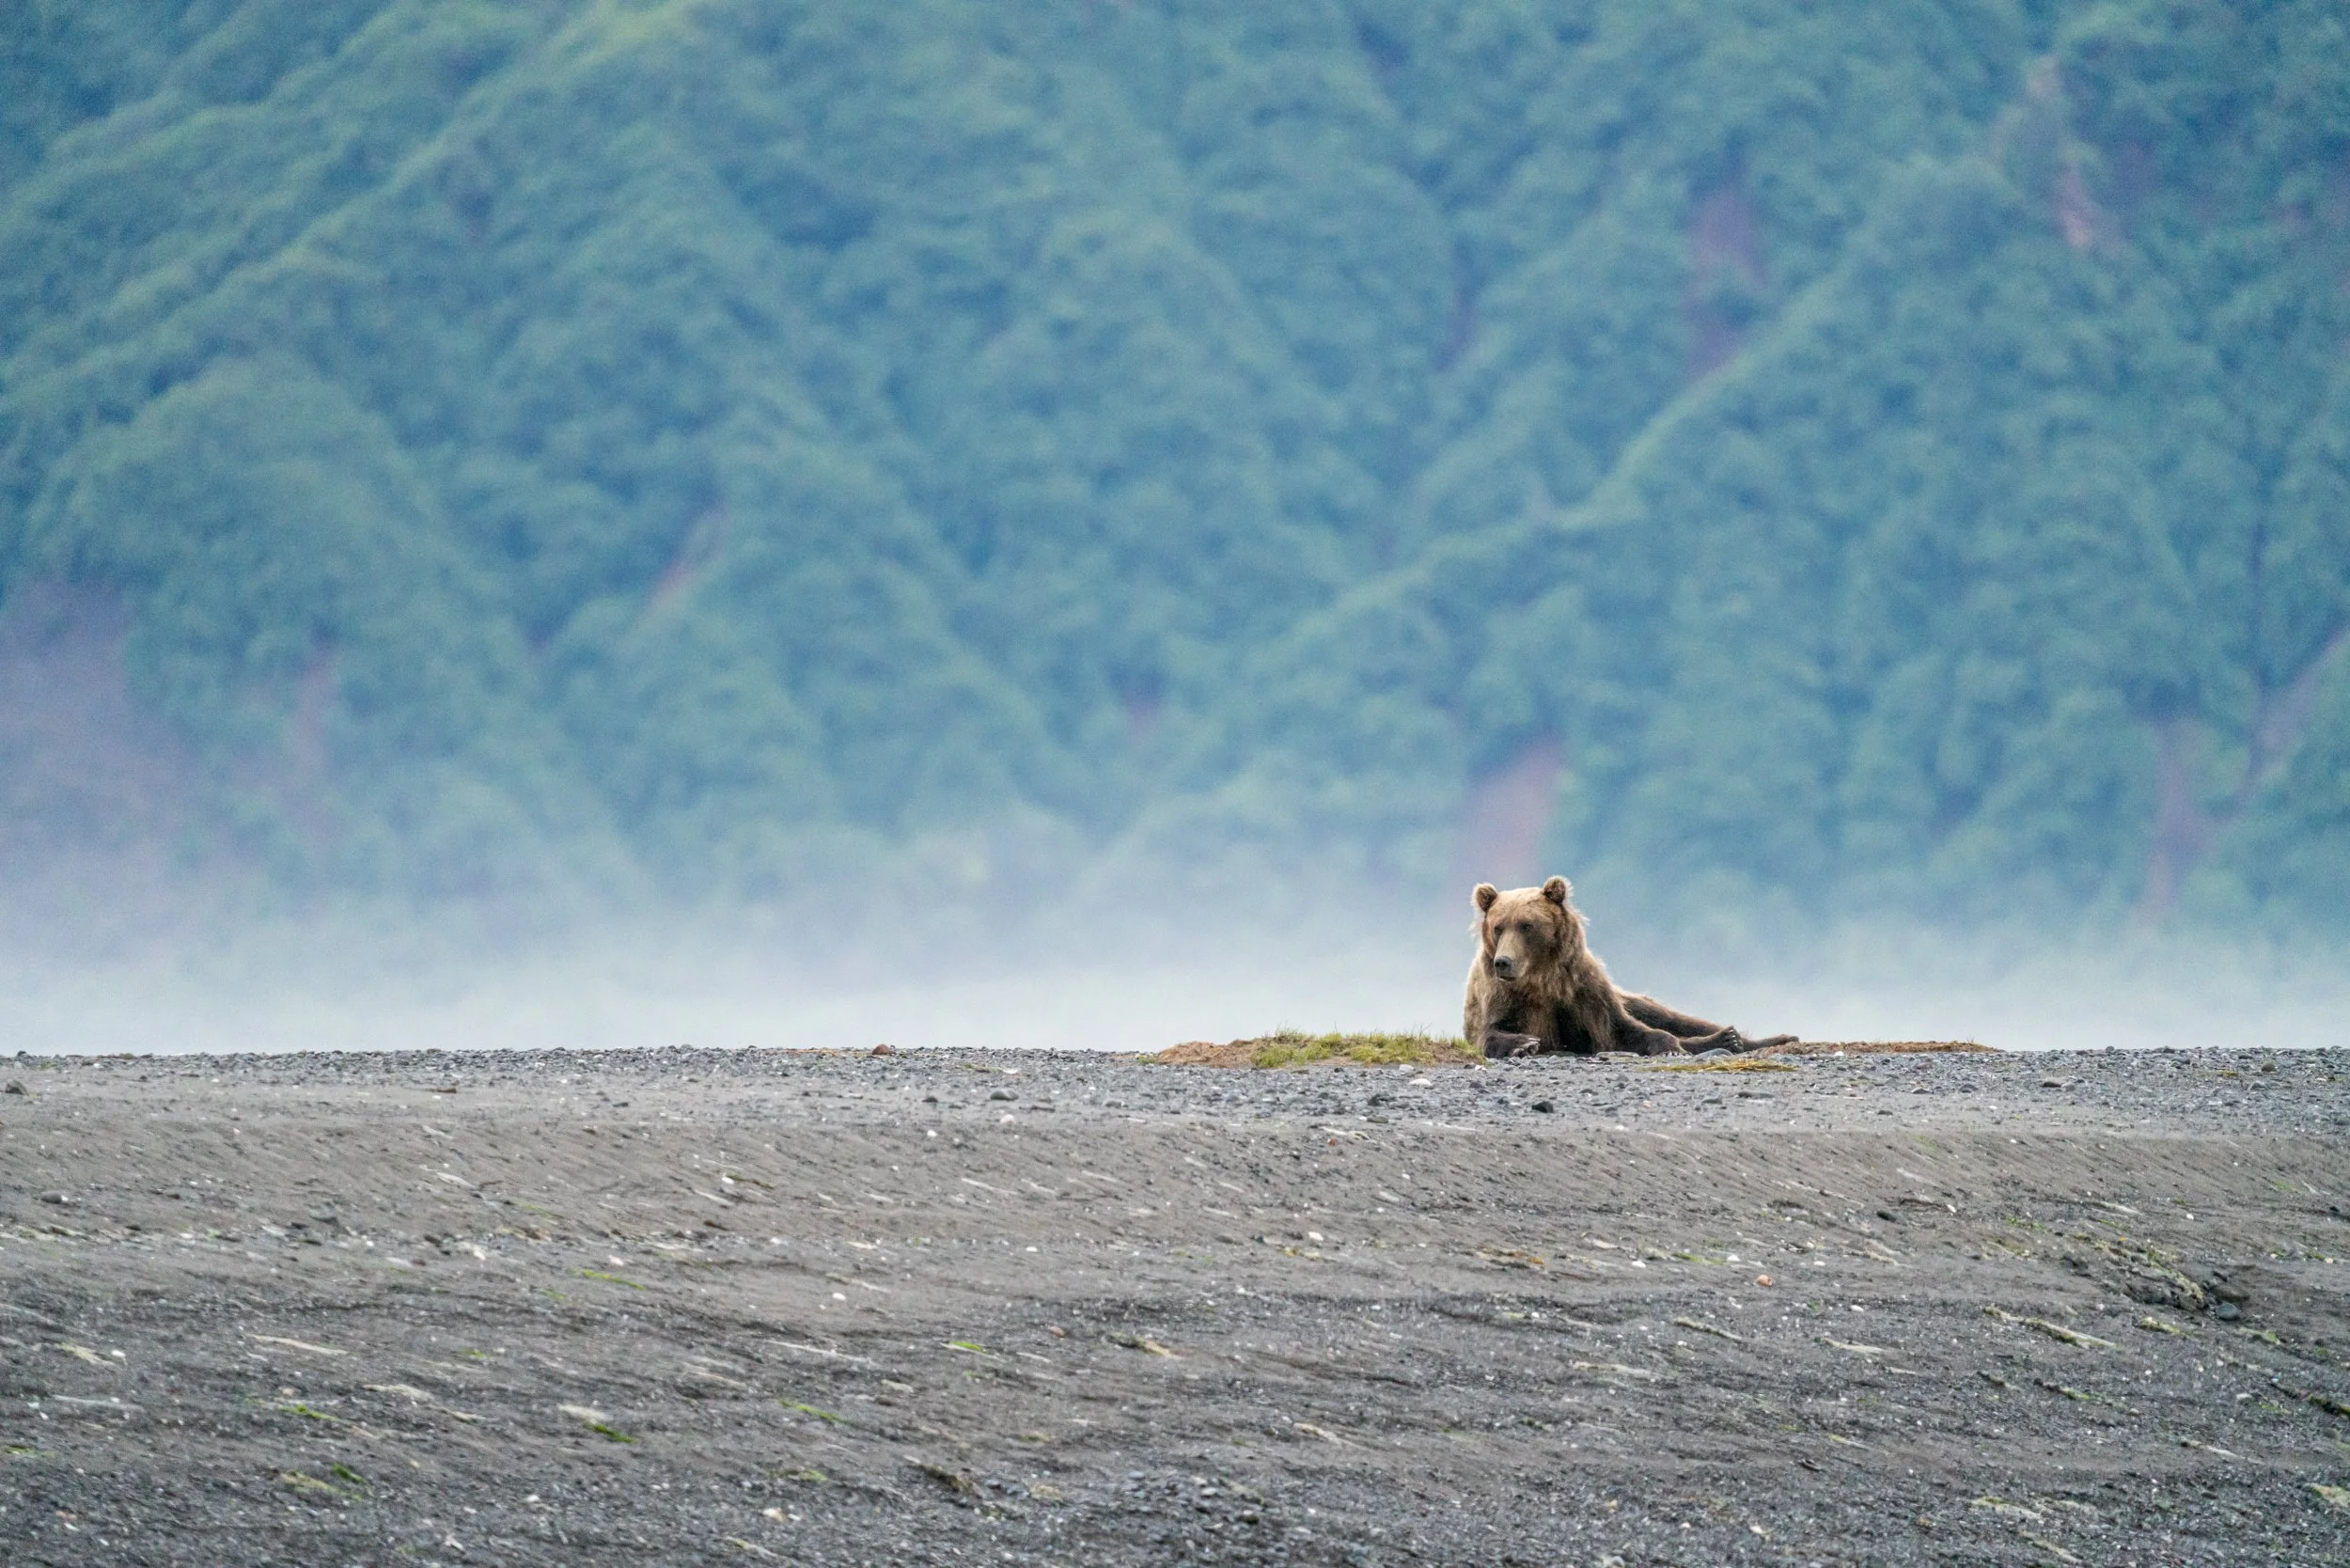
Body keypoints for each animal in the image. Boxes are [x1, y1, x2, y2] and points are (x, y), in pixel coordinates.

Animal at [1461, 876, 1791, 1058]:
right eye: (1498, 927)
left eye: (1526, 925)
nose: (1503, 962)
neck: (1542, 979)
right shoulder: (1503, 997)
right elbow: (1490, 1033)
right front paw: (1523, 1044)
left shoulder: (1584, 990)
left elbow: (1625, 1028)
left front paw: (1671, 1045)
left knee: (1672, 1017)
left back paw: (1741, 1037)